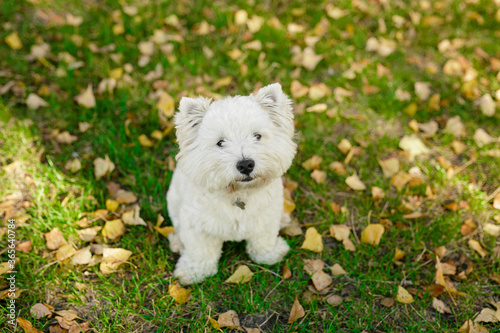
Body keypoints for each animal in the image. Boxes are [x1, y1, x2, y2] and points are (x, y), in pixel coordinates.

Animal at [167, 82, 296, 282]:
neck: (238, 193)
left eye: (257, 136)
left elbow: (263, 240)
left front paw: (270, 254)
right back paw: (177, 242)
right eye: (220, 142)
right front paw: (194, 272)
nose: (246, 165)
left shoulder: (266, 218)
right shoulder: (197, 226)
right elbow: (200, 251)